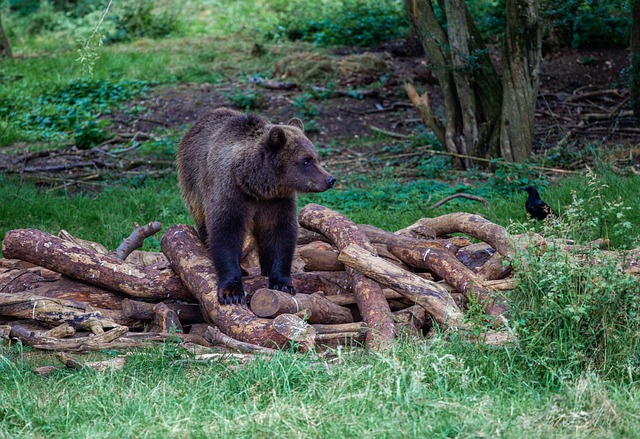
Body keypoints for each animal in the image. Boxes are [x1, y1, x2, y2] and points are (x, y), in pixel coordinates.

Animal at [175, 108, 336, 304]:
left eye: (317, 158)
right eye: (306, 160)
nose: (330, 179)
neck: (254, 185)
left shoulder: (276, 202)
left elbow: (281, 232)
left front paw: (282, 282)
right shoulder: (229, 193)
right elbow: (225, 233)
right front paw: (232, 292)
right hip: (193, 184)